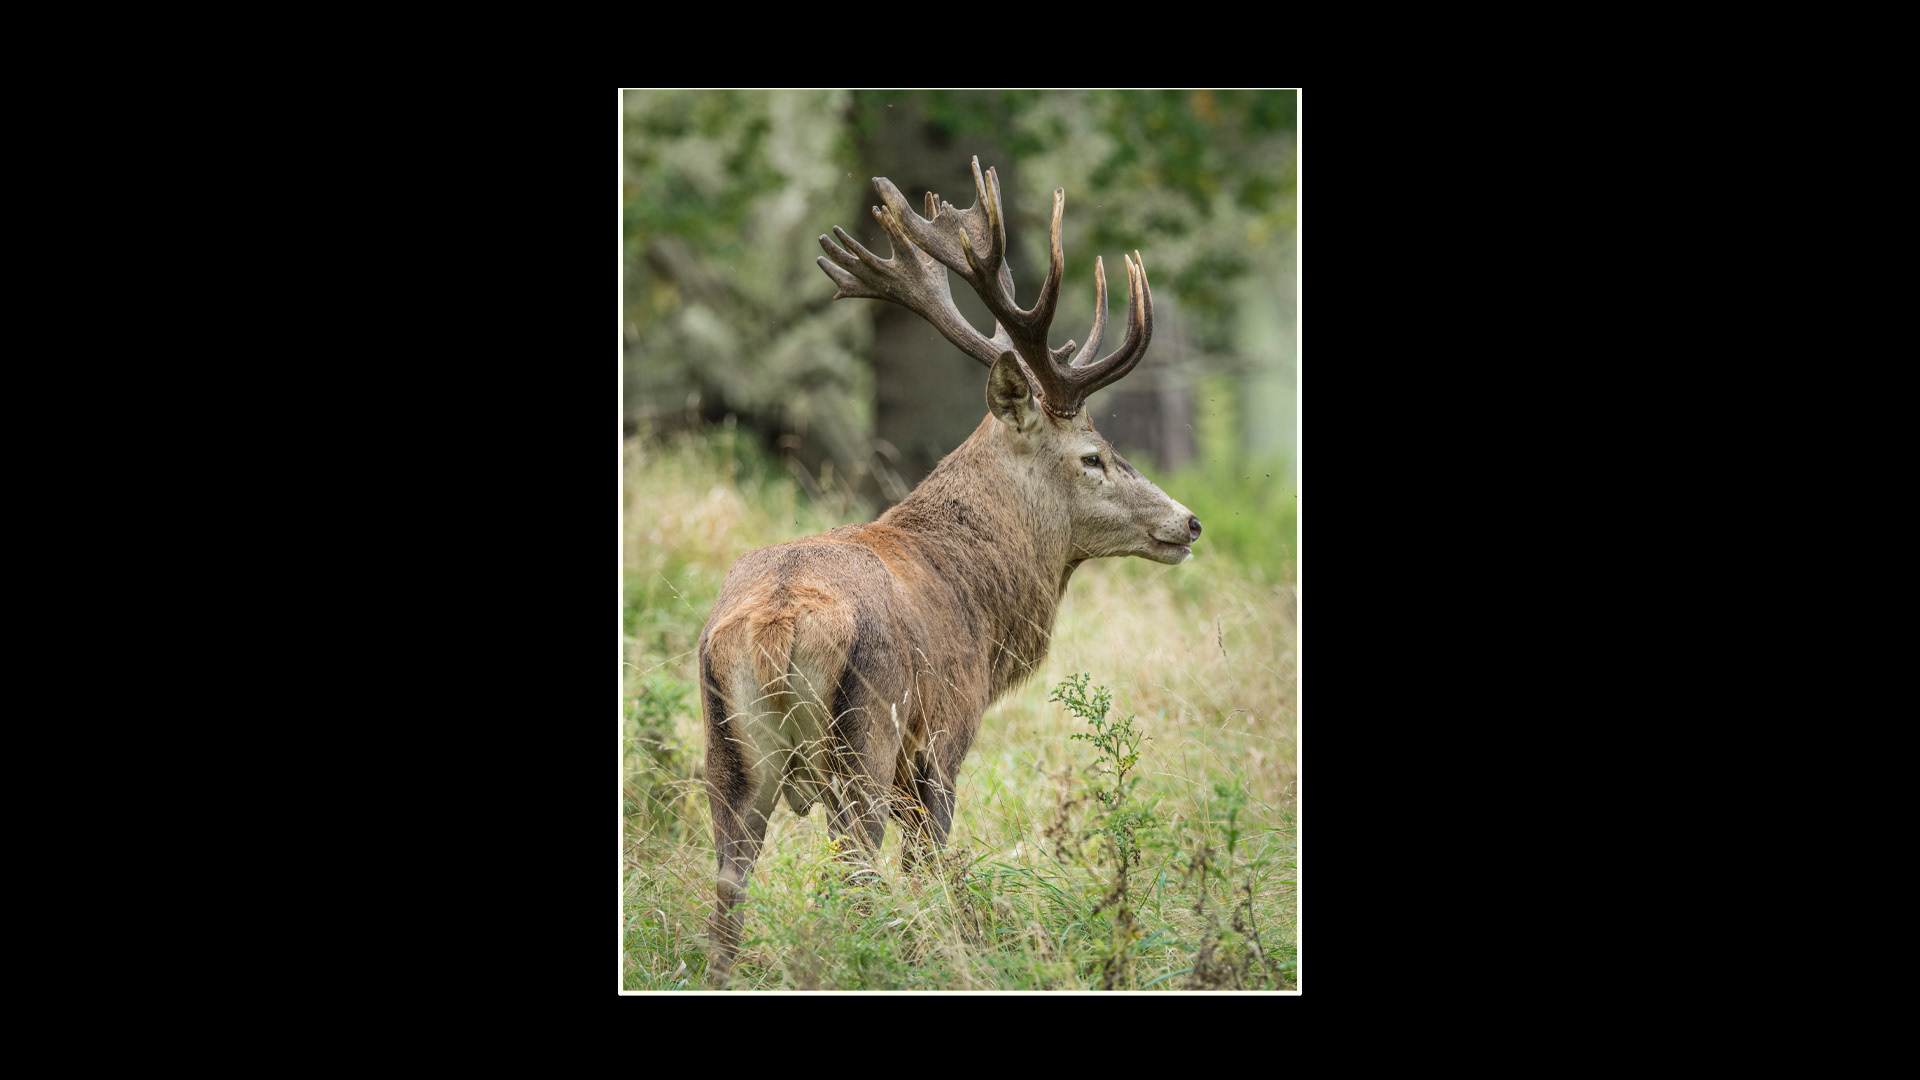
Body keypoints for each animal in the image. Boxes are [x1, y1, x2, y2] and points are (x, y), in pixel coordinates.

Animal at [696, 157, 1202, 984]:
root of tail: (775, 624)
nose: (1188, 522)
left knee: (728, 888)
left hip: (727, 753)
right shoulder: (943, 739)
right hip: (862, 741)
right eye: (1093, 456)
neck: (983, 604)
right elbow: (932, 866)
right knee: (857, 873)